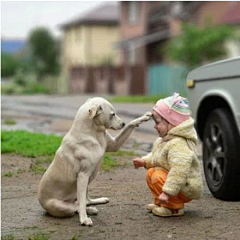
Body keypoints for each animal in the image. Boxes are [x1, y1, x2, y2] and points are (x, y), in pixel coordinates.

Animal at [37, 96, 150, 226]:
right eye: (112, 114)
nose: (123, 123)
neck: (93, 132)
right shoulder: (83, 175)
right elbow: (81, 204)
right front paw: (84, 219)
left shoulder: (114, 145)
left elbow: (131, 125)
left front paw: (143, 117)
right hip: (62, 204)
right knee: (77, 206)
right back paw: (87, 211)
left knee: (85, 201)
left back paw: (95, 204)